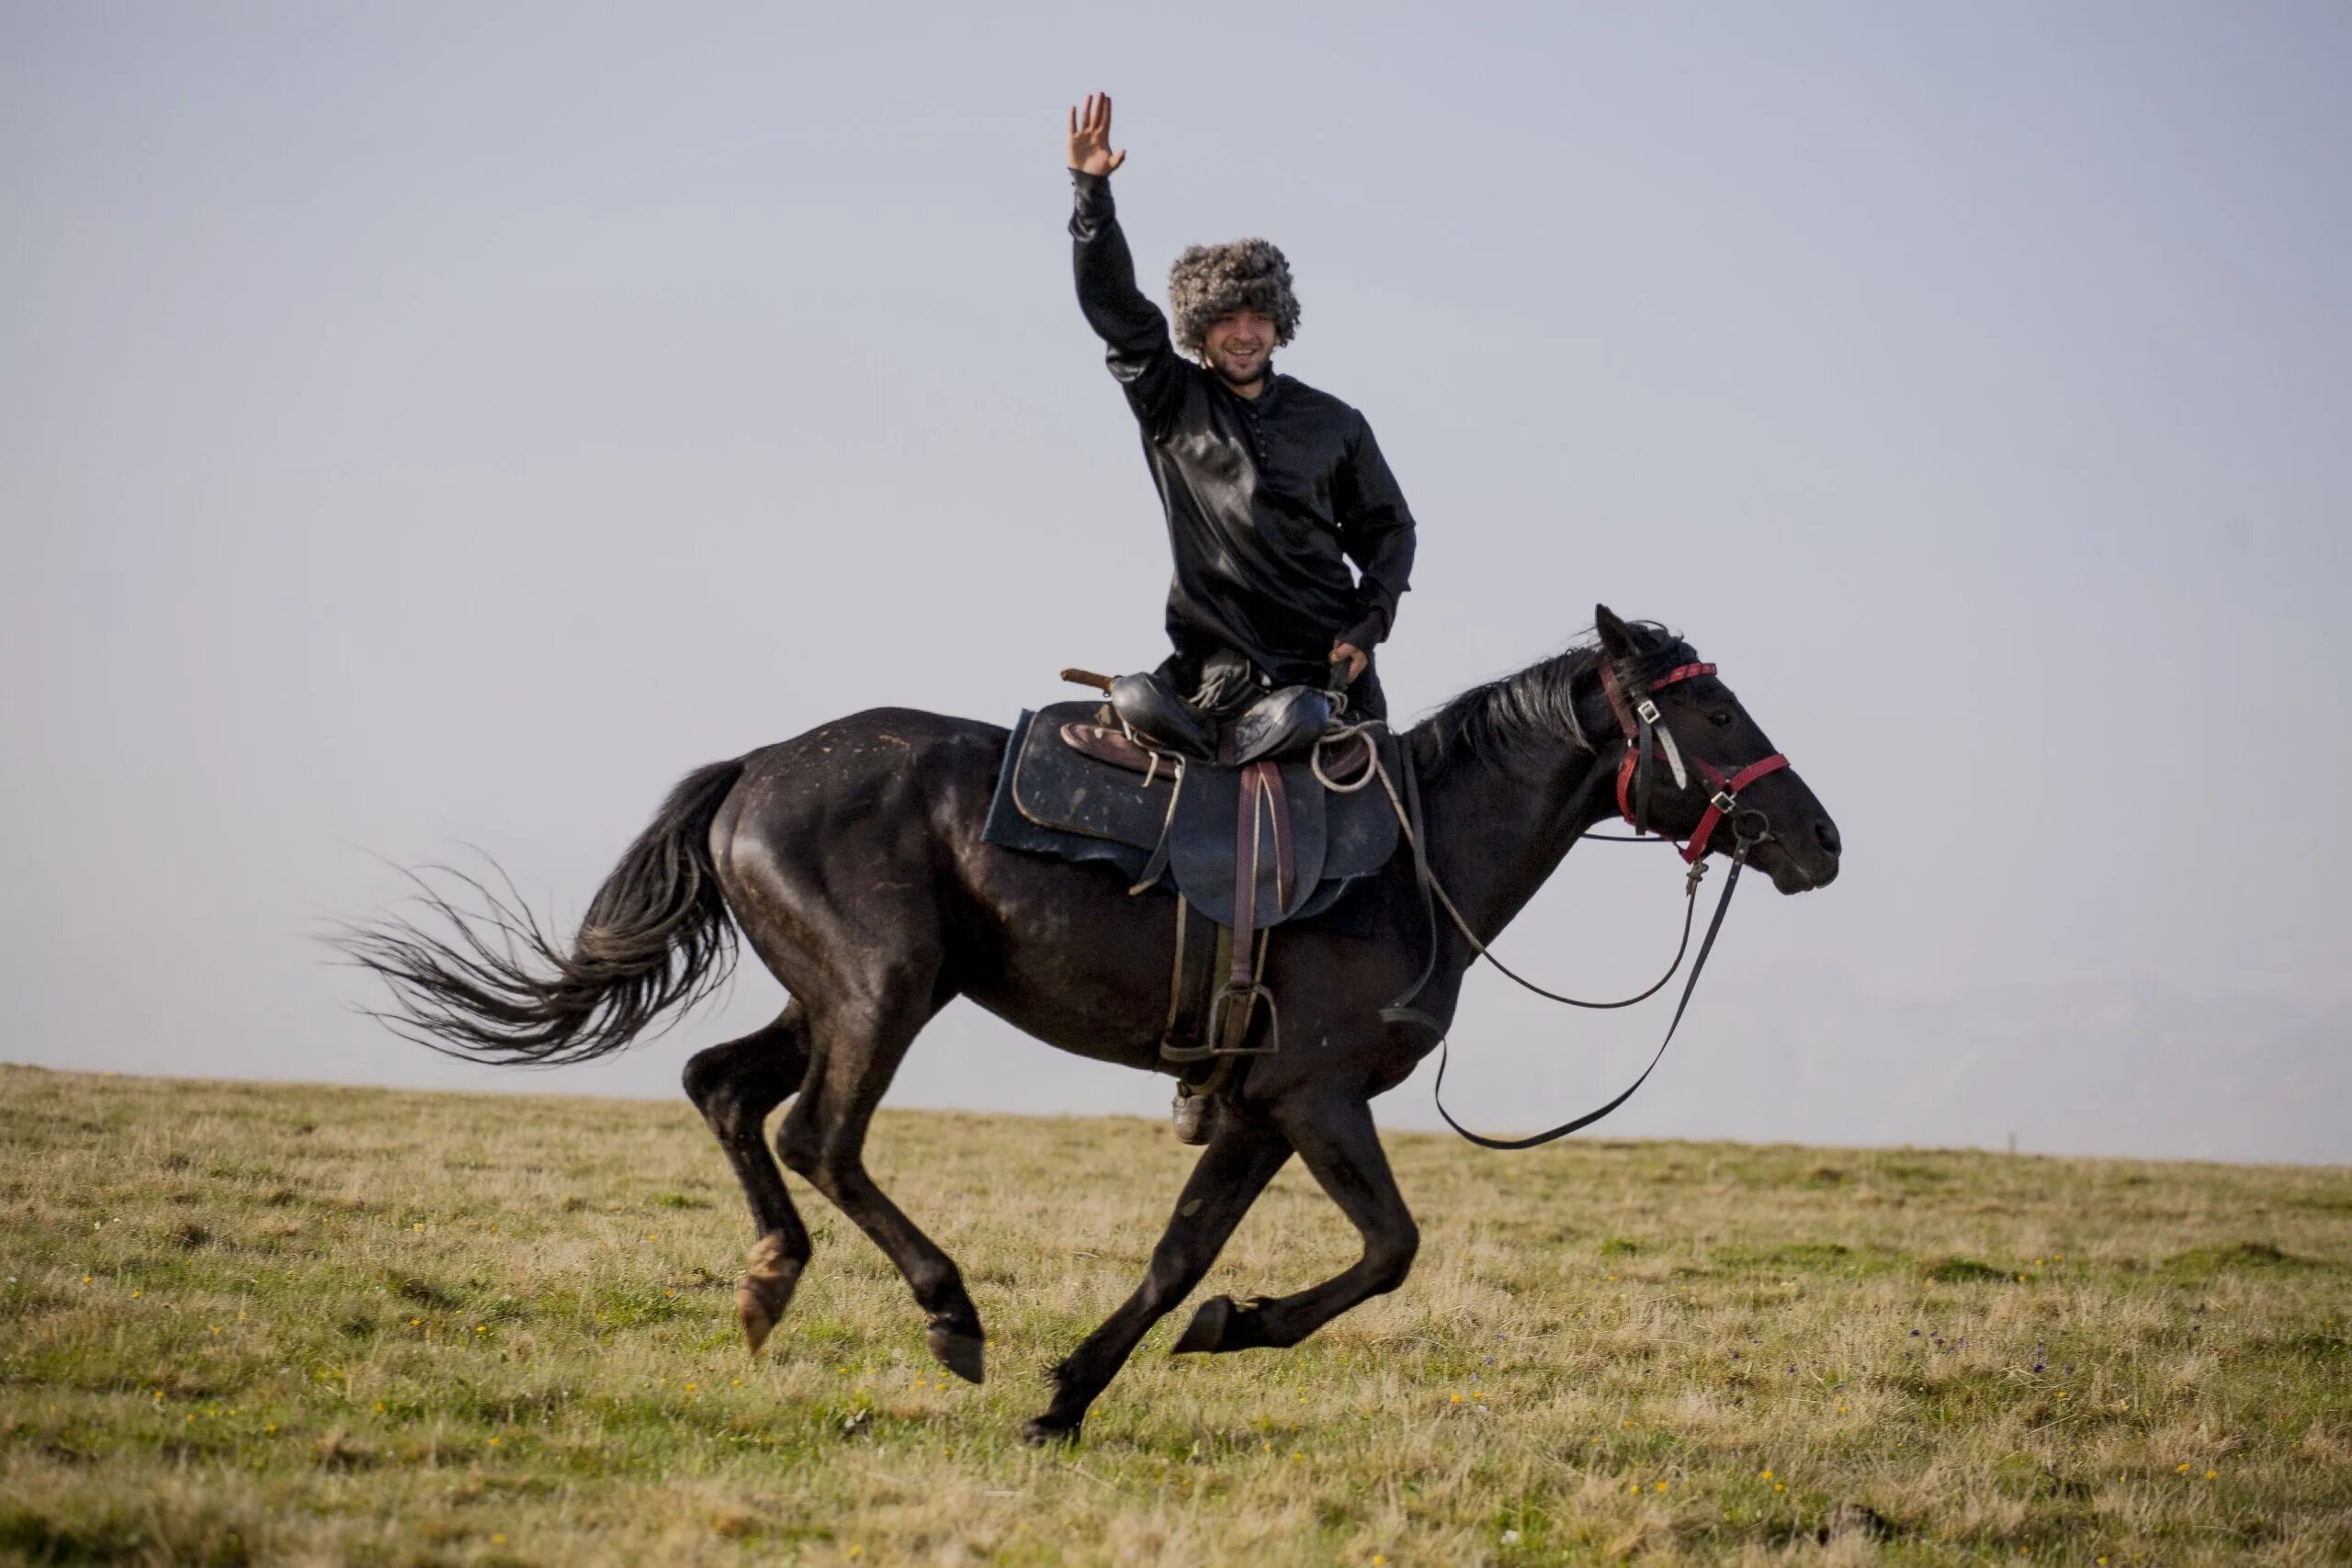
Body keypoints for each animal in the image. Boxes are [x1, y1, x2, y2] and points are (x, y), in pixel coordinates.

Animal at [341, 606, 1834, 1438]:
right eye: (1709, 705)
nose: (1819, 840)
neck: (1411, 861)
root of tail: (755, 769)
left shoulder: (1257, 1110)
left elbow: (1180, 1255)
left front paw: (1074, 1395)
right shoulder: (1316, 1097)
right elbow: (1391, 1248)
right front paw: (1235, 1328)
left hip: (831, 992)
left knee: (722, 1087)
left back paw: (771, 1279)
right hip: (882, 990)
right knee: (821, 1134)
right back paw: (947, 1313)